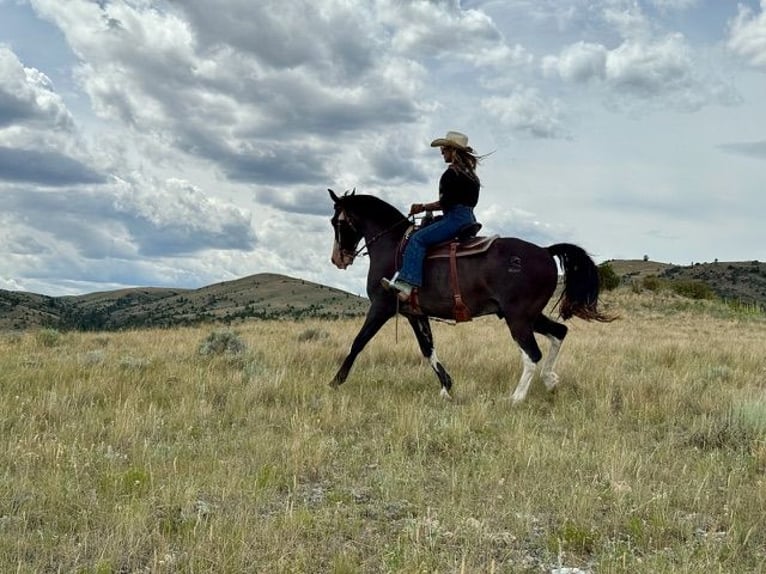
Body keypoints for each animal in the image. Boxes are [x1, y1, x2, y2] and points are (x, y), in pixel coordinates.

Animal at [328, 189, 613, 402]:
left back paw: (516, 398)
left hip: (518, 318)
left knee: (532, 354)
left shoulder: (381, 306)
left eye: (337, 222)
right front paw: (446, 386)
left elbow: (358, 342)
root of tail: (545, 250)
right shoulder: (414, 314)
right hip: (529, 315)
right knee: (559, 332)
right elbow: (428, 349)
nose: (338, 259)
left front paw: (335, 381)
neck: (393, 245)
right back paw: (550, 380)